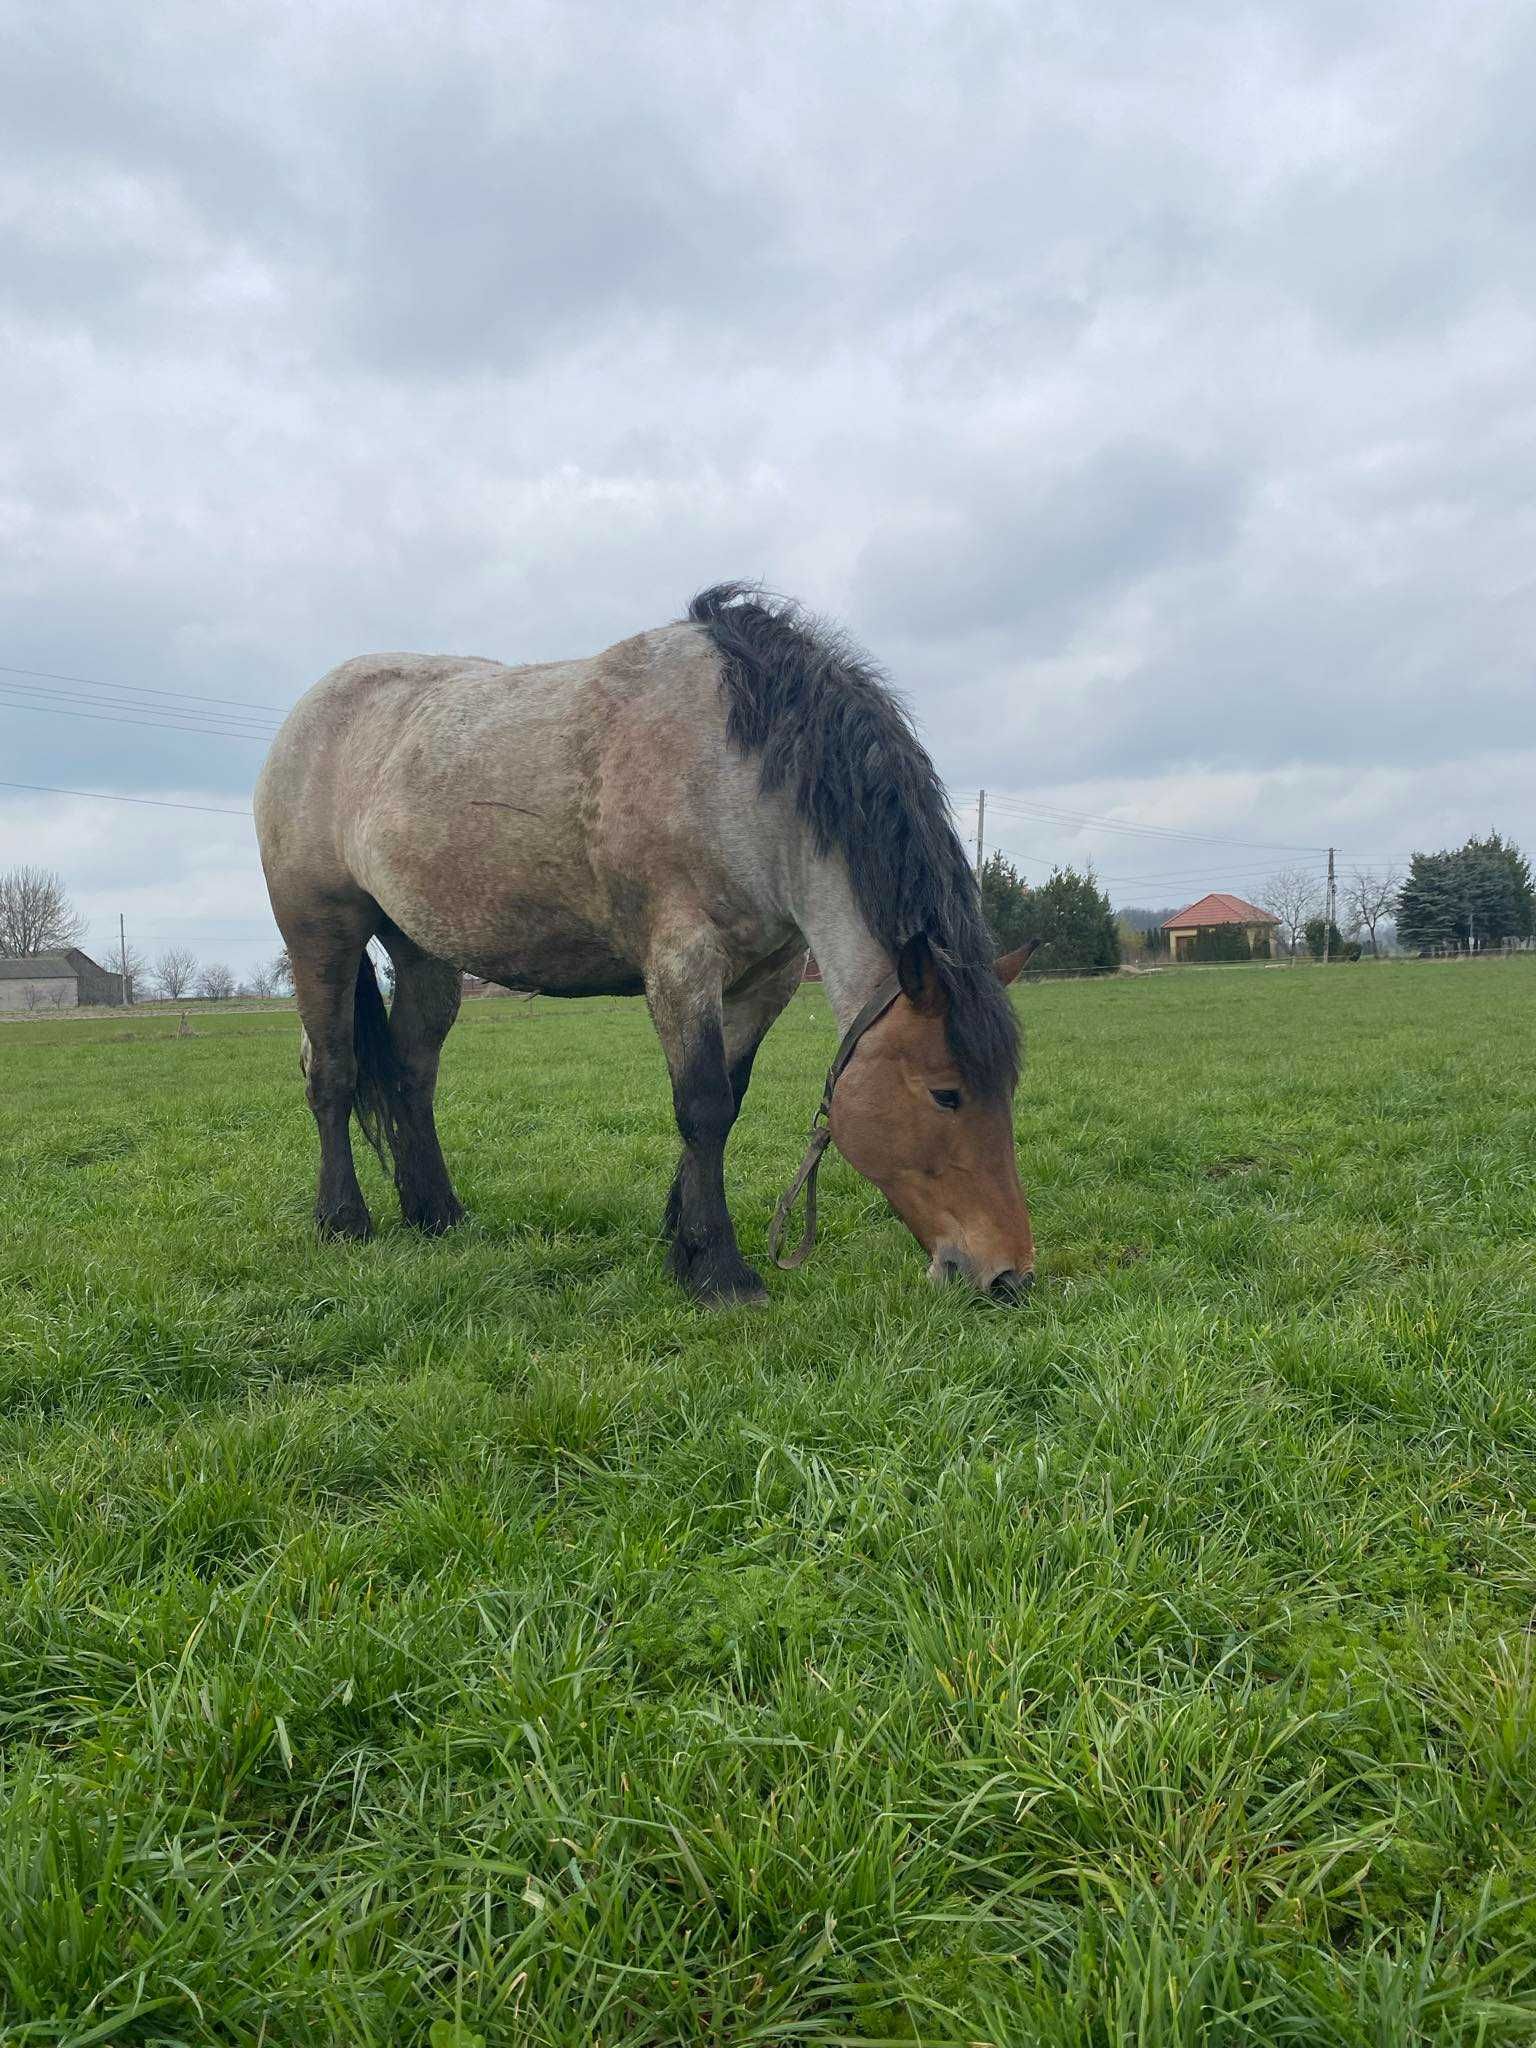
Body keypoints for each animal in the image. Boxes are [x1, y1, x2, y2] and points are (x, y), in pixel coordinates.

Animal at [259, 585, 1040, 1302]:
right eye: (946, 1094)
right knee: (331, 1072)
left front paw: (681, 1239)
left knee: (411, 1076)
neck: (738, 776)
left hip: (425, 953)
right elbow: (703, 1104)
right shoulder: (681, 965)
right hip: (321, 934)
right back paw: (343, 1220)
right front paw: (720, 1271)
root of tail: (308, 711)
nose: (1008, 1274)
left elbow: (729, 1097)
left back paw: (436, 1214)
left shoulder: (769, 979)